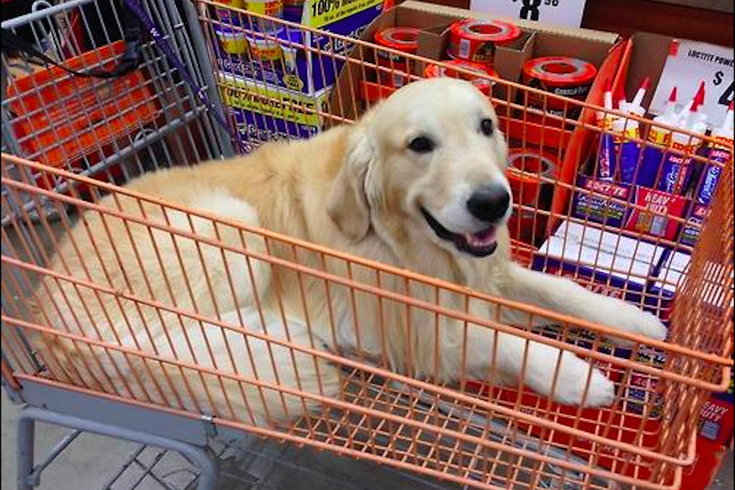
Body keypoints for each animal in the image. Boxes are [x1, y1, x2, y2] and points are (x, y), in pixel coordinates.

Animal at [33, 78, 668, 426]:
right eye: (420, 144)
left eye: (487, 126)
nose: (494, 202)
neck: (402, 243)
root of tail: (46, 321)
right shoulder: (418, 334)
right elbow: (499, 340)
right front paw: (575, 376)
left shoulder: (488, 273)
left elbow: (562, 288)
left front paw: (636, 321)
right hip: (233, 232)